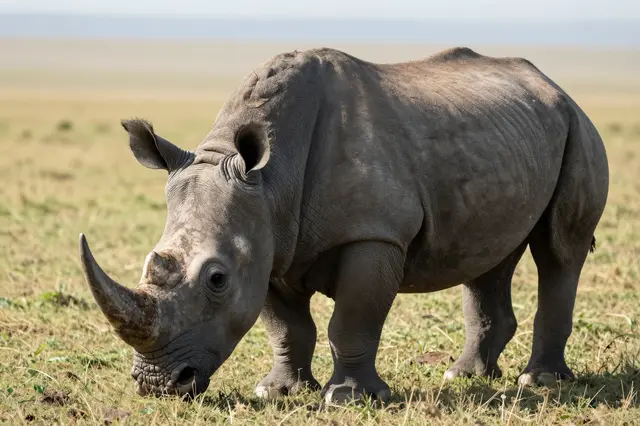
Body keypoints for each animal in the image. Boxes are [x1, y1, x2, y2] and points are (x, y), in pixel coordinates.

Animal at [78, 47, 608, 403]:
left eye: (216, 279)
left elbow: (352, 318)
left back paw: (539, 381)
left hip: (579, 127)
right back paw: (465, 376)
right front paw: (280, 392)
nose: (159, 384)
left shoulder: (374, 234)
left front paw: (348, 398)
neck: (270, 178)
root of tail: (554, 85)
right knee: (488, 259)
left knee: (559, 251)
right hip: (510, 140)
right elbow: (287, 327)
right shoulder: (269, 239)